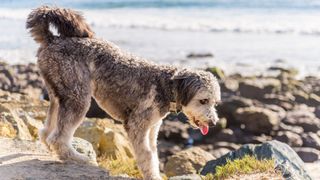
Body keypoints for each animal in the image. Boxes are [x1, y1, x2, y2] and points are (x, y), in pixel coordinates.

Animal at [26, 6, 220, 179]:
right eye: (203, 100)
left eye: (215, 103)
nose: (213, 122)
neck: (165, 85)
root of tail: (52, 39)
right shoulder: (137, 126)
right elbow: (147, 157)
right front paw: (152, 176)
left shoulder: (151, 130)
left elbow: (154, 155)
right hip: (78, 98)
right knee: (58, 138)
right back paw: (77, 158)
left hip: (59, 95)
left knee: (46, 131)